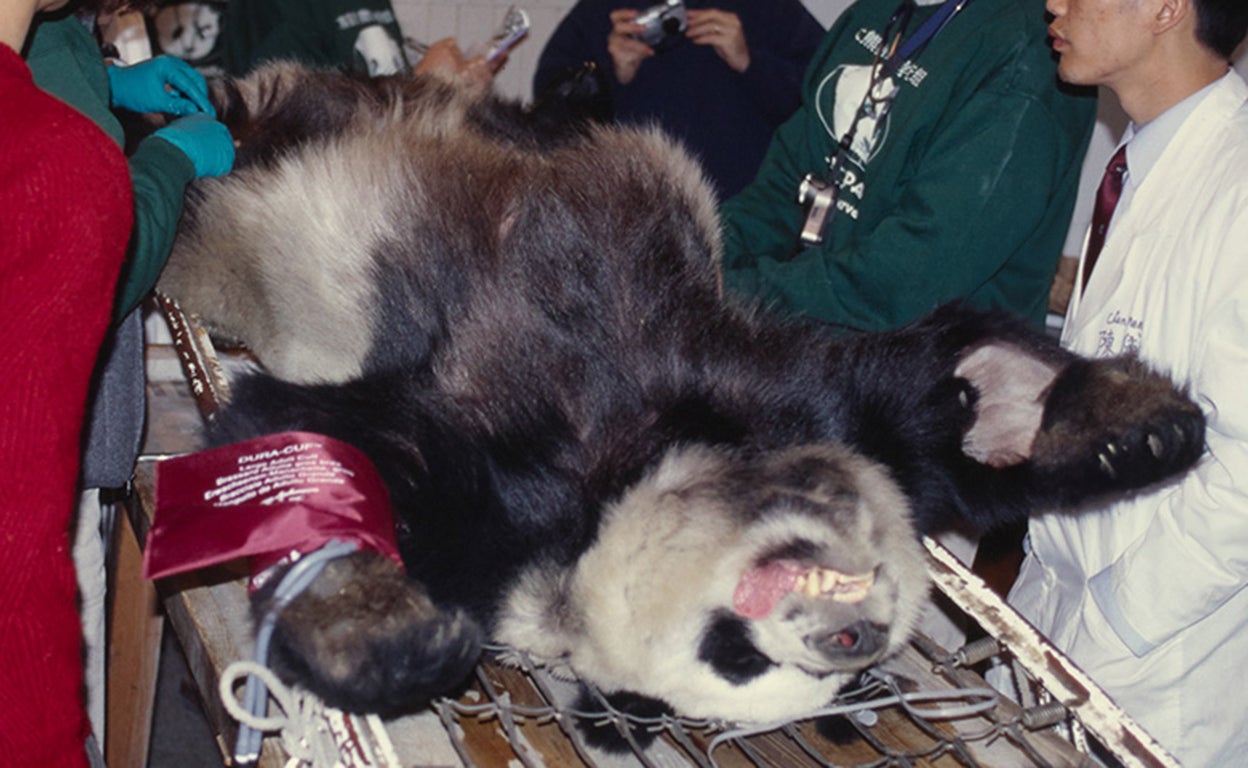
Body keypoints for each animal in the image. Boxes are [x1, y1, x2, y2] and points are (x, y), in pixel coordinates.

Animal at [156, 62, 1207, 726]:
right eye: (735, 653)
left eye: (857, 664)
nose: (853, 636)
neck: (646, 451)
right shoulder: (511, 468)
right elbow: (318, 450)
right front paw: (393, 639)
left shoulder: (773, 394)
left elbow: (945, 407)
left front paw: (1130, 428)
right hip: (264, 191)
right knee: (266, 131)